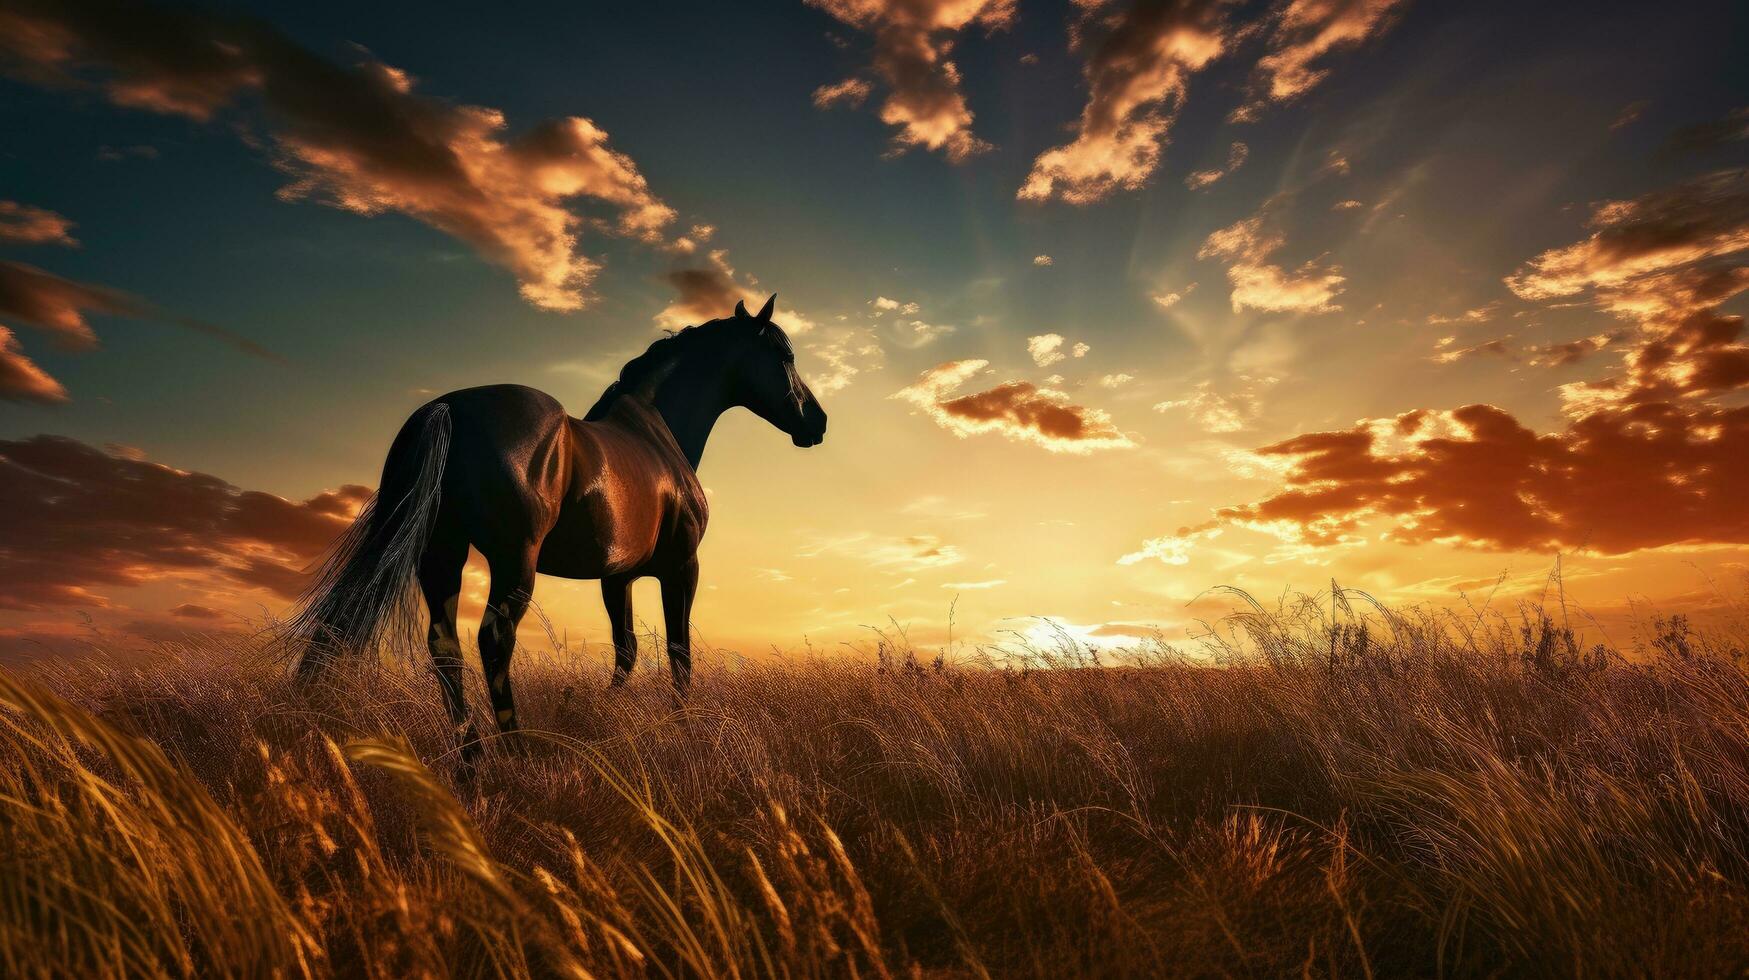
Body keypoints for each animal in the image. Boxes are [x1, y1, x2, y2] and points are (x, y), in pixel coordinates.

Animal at [288, 294, 825, 745]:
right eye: (785, 356)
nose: (817, 422)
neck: (658, 437)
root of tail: (449, 408)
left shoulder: (617, 577)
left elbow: (626, 647)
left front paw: (603, 711)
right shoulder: (681, 568)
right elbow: (678, 651)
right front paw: (681, 724)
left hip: (441, 554)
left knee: (444, 647)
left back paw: (471, 757)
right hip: (513, 564)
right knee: (492, 641)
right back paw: (513, 750)